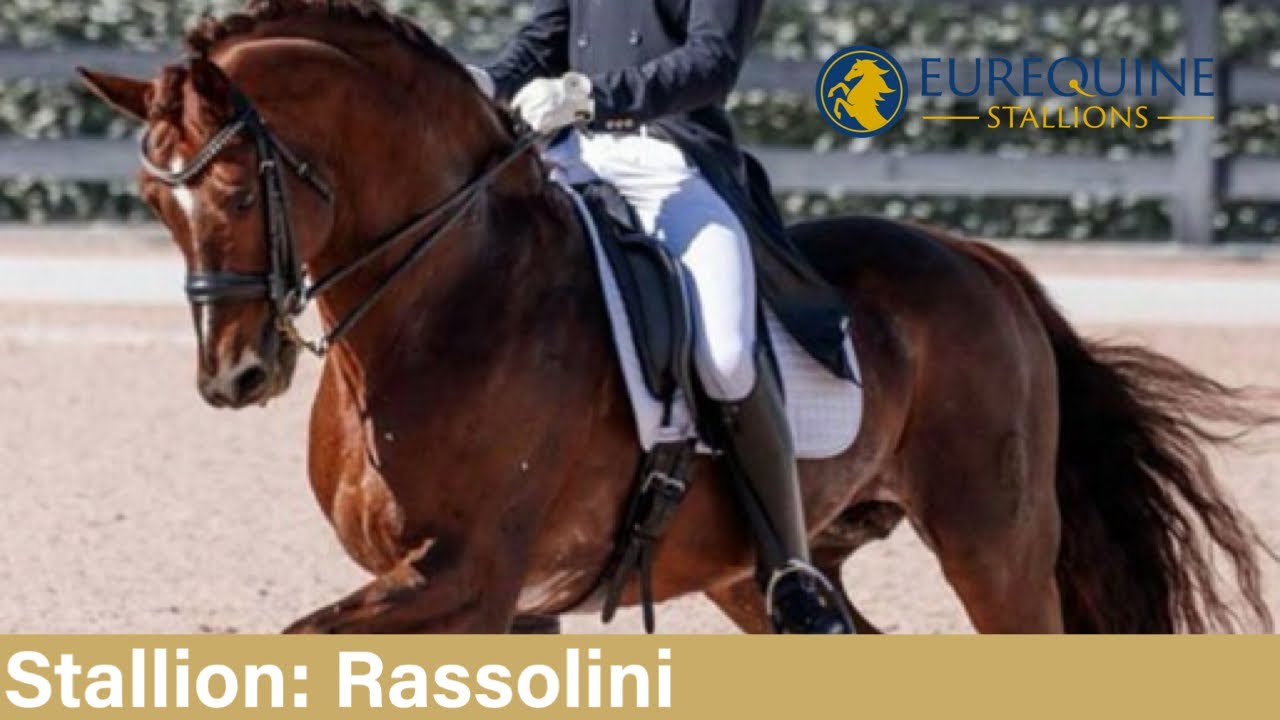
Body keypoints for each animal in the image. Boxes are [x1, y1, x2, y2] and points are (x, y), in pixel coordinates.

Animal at [79, 0, 1272, 634]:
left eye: (236, 189)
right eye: (152, 199)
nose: (233, 377)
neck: (443, 305)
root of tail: (979, 259)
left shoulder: (468, 580)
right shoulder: (509, 603)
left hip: (995, 547)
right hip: (763, 572)